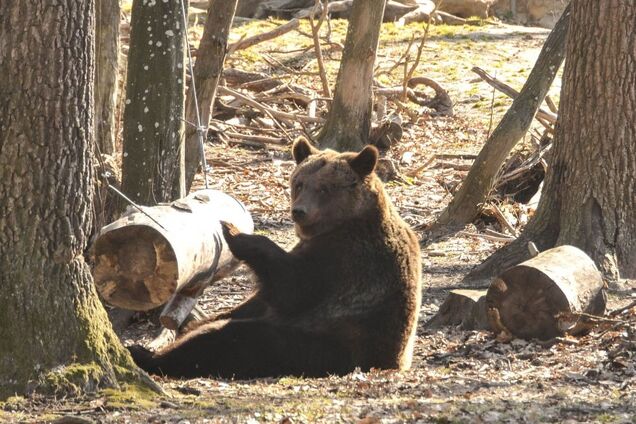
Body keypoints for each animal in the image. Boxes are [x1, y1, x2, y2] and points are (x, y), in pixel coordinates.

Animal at [128, 138, 422, 378]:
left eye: (325, 188)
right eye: (299, 183)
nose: (299, 211)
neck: (343, 224)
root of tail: (394, 362)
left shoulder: (343, 260)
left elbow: (292, 288)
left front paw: (233, 231)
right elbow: (262, 297)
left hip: (324, 342)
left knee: (234, 340)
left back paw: (147, 356)